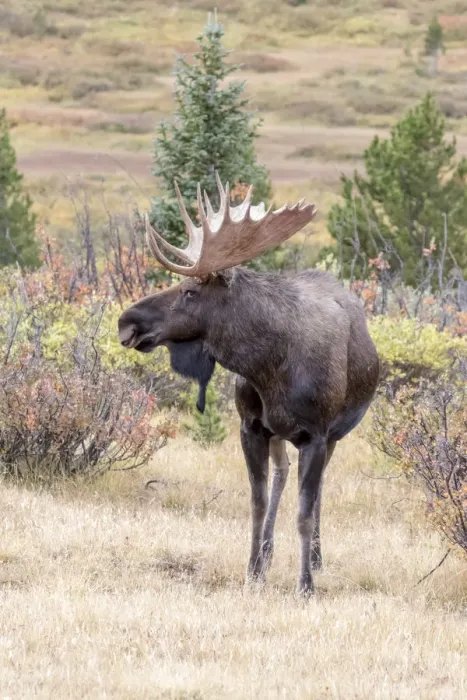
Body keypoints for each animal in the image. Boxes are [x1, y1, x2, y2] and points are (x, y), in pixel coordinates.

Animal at [118, 174, 380, 595]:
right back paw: (271, 552)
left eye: (190, 291)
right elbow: (257, 503)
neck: (270, 368)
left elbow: (305, 513)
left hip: (336, 433)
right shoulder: (251, 427)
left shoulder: (317, 434)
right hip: (279, 434)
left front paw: (305, 585)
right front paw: (254, 571)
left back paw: (317, 559)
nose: (127, 322)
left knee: (318, 490)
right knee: (282, 473)